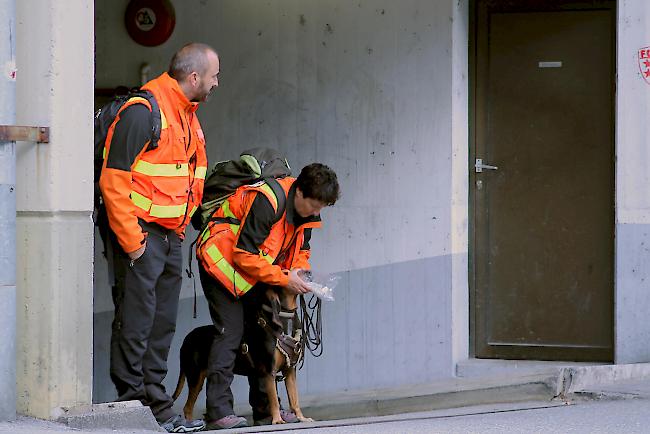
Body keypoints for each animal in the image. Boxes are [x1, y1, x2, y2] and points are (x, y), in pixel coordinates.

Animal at [172, 286, 314, 426]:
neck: (285, 317)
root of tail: (187, 338)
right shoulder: (269, 372)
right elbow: (274, 400)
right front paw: (277, 420)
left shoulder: (289, 370)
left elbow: (295, 400)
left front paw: (301, 418)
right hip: (195, 376)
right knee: (187, 408)